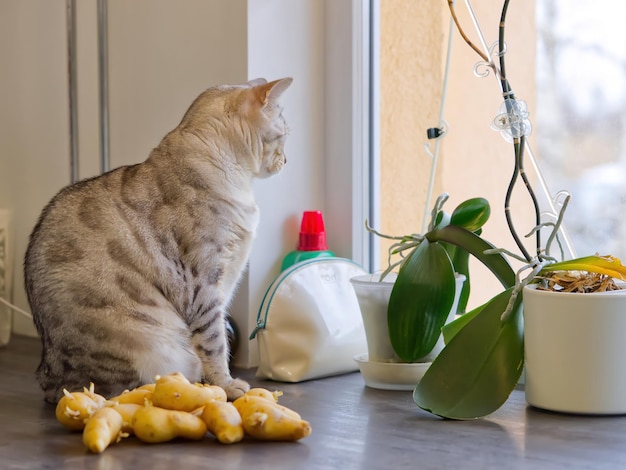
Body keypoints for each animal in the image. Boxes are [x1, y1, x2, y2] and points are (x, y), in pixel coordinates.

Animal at [24, 77, 292, 404]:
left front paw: (216, 385)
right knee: (117, 390)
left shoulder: (222, 284)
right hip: (147, 343)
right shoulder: (204, 283)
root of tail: (47, 375)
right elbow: (216, 343)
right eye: (283, 136)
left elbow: (216, 340)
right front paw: (226, 387)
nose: (286, 161)